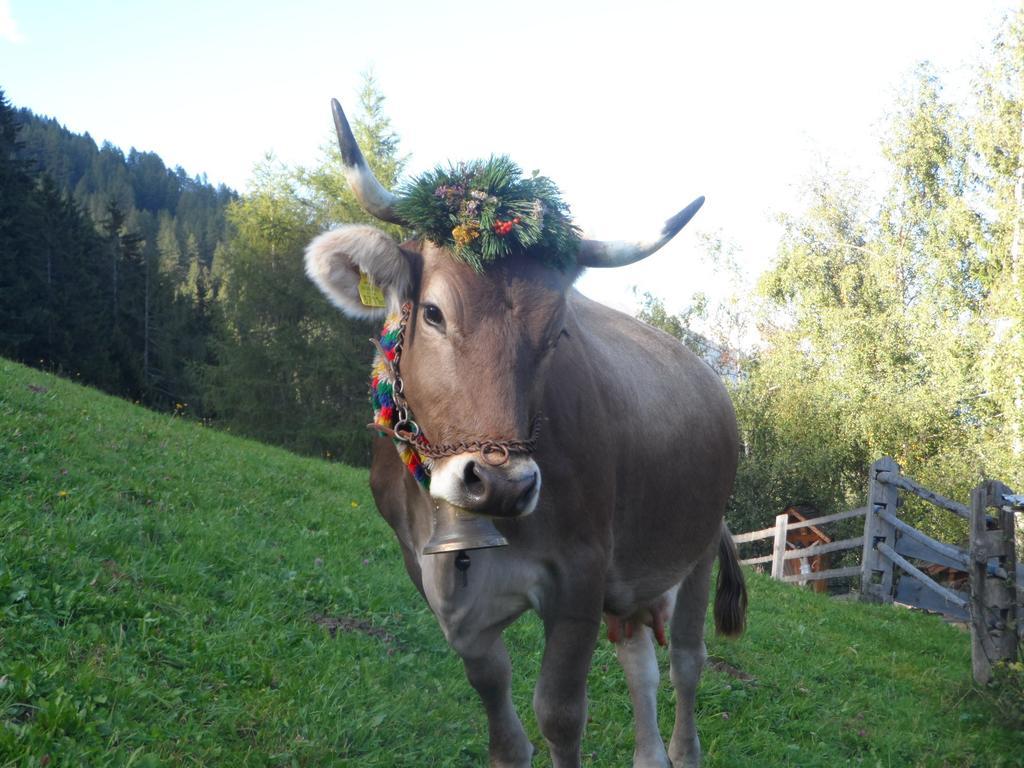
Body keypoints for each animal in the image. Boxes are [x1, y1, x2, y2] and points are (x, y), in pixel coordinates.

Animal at [303, 97, 745, 768]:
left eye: (558, 332)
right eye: (432, 312)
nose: (501, 485)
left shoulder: (582, 572)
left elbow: (560, 716)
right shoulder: (433, 580)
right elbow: (501, 717)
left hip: (692, 552)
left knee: (687, 666)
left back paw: (681, 746)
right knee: (640, 661)